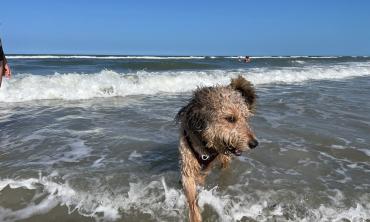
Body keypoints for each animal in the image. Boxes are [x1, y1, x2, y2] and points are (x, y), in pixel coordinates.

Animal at [176, 75, 258, 221]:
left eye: (246, 118)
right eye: (231, 118)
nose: (254, 143)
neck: (204, 144)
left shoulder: (207, 166)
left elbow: (201, 178)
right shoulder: (187, 166)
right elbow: (191, 199)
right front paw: (195, 216)